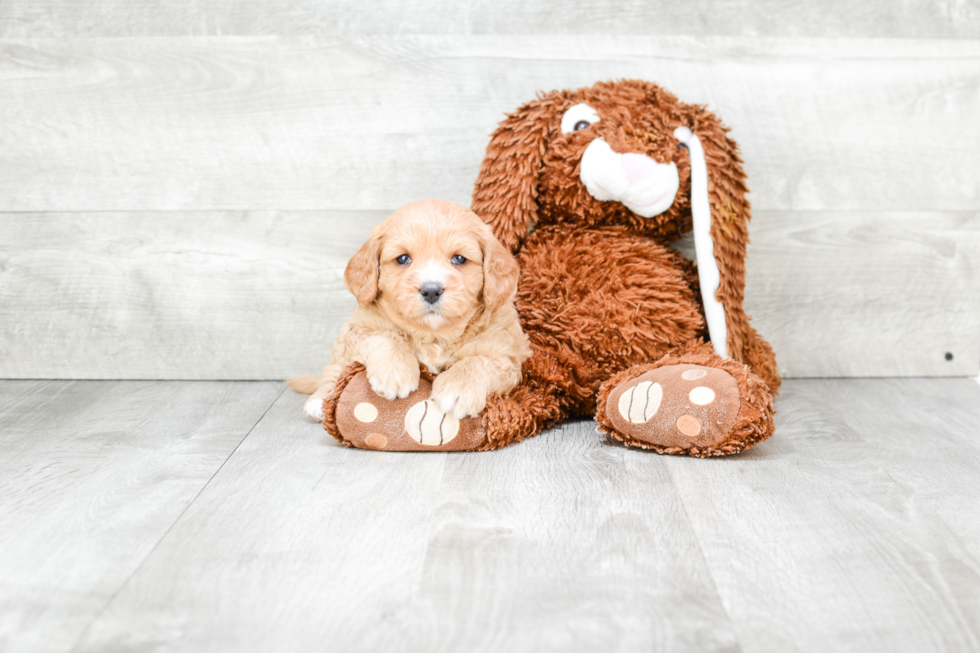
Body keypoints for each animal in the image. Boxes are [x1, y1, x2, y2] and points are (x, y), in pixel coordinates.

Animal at [292, 199, 528, 420]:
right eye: (403, 258)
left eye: (459, 258)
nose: (431, 290)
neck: (434, 335)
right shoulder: (359, 327)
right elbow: (386, 336)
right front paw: (394, 373)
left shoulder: (508, 355)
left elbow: (479, 360)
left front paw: (459, 388)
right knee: (333, 370)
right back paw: (320, 400)